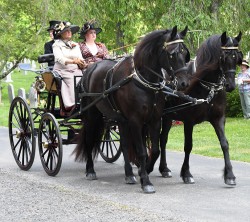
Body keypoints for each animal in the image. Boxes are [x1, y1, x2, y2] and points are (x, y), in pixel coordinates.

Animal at [73, 26, 190, 193]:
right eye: (172, 54)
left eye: (185, 53)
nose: (184, 83)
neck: (142, 81)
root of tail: (89, 70)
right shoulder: (135, 121)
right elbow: (141, 151)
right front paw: (146, 181)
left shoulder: (155, 119)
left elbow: (155, 149)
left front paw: (144, 170)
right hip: (92, 115)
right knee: (89, 139)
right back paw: (90, 170)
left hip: (120, 119)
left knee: (124, 144)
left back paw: (129, 174)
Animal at [146, 30, 242, 185]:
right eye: (223, 57)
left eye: (237, 57)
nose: (230, 86)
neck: (207, 87)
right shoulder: (189, 121)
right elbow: (188, 146)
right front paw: (186, 173)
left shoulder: (219, 118)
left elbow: (224, 143)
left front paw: (230, 175)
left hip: (167, 117)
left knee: (163, 139)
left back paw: (164, 169)